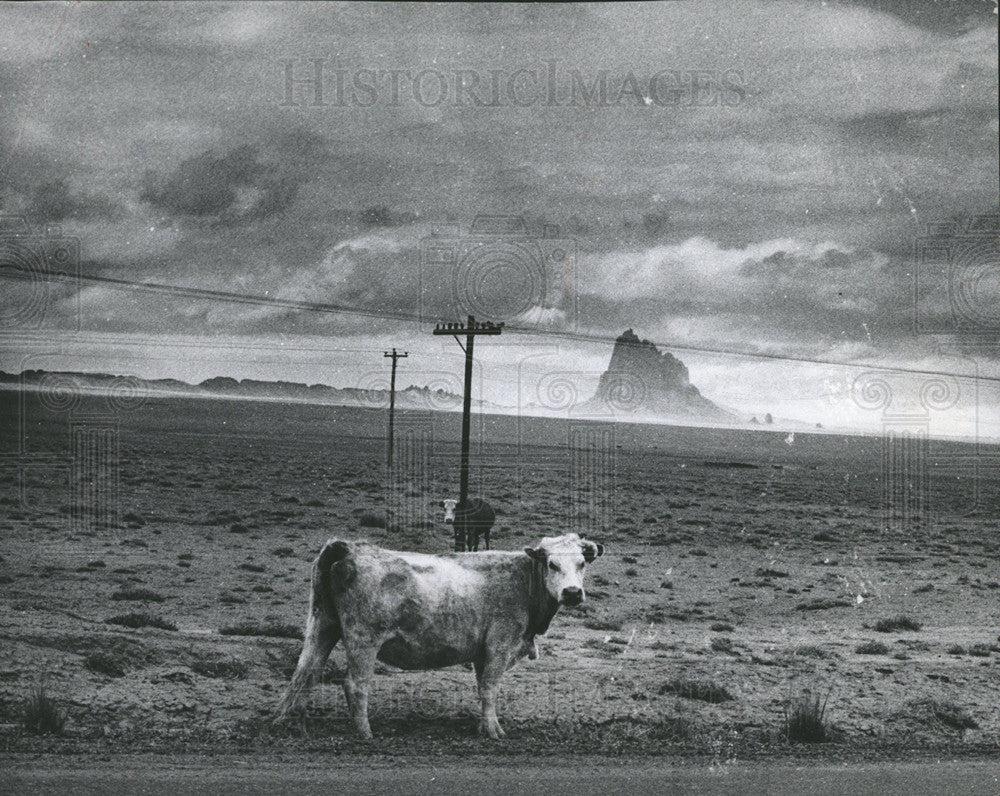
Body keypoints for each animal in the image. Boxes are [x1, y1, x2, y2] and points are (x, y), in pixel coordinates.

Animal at [276, 532, 600, 736]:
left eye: (582, 563)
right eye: (552, 564)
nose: (572, 593)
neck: (523, 579)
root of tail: (349, 547)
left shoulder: (483, 653)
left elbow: (482, 689)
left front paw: (483, 726)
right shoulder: (499, 647)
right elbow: (490, 689)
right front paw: (493, 731)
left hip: (322, 625)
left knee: (305, 672)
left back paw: (288, 722)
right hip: (363, 639)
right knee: (354, 684)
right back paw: (363, 731)